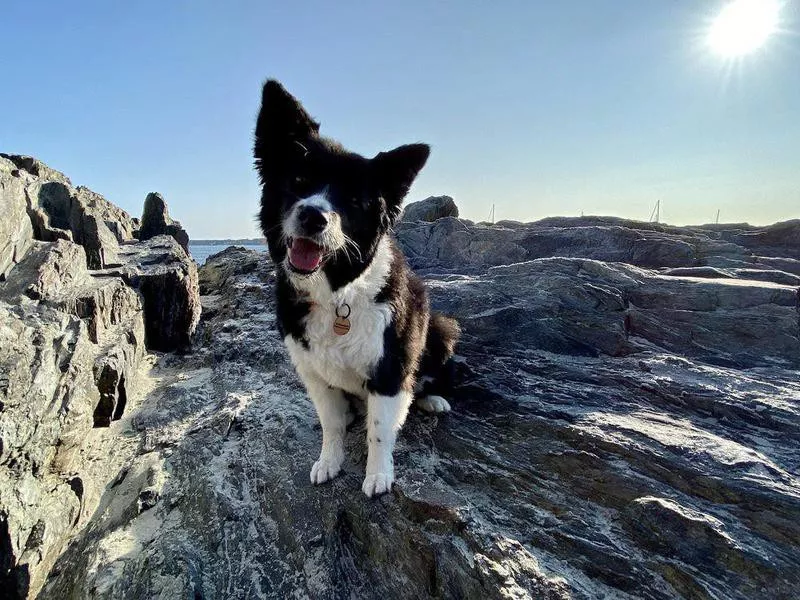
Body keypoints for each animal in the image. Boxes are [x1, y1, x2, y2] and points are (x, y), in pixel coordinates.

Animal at [253, 81, 460, 496]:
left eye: (352, 200)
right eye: (299, 181)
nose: (313, 216)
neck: (337, 295)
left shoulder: (390, 368)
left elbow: (380, 431)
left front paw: (378, 475)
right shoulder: (313, 372)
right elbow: (331, 425)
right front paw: (329, 461)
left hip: (442, 328)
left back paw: (432, 399)